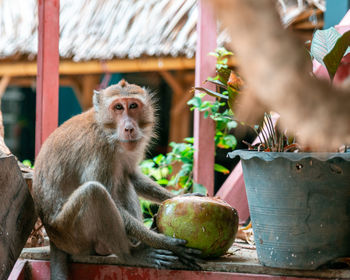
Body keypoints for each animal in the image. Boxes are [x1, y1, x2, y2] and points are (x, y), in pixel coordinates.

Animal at [33, 79, 202, 280]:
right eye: (118, 107)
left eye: (133, 106)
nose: (129, 128)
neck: (107, 131)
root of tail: (53, 237)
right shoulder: (98, 151)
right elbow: (108, 196)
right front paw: (164, 242)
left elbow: (133, 175)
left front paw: (183, 197)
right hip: (70, 233)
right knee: (94, 192)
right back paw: (132, 254)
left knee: (122, 179)